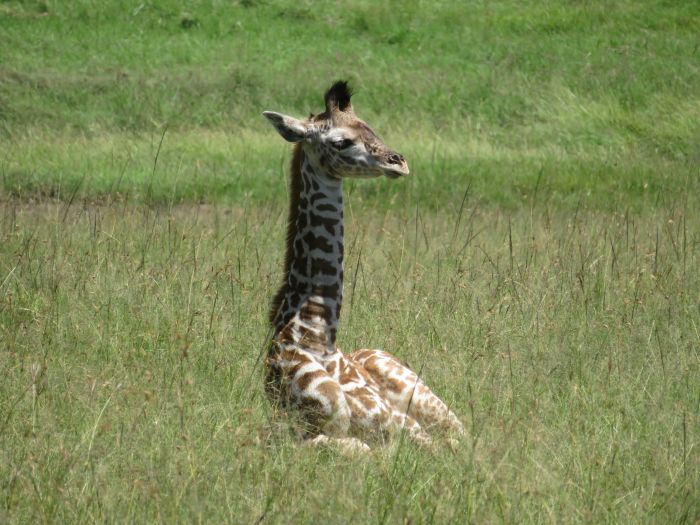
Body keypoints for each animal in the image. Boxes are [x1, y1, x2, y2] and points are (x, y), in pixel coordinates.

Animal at [260, 82, 462, 450]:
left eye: (371, 127)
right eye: (341, 141)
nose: (400, 162)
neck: (314, 334)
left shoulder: (400, 424)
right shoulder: (311, 429)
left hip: (421, 392)